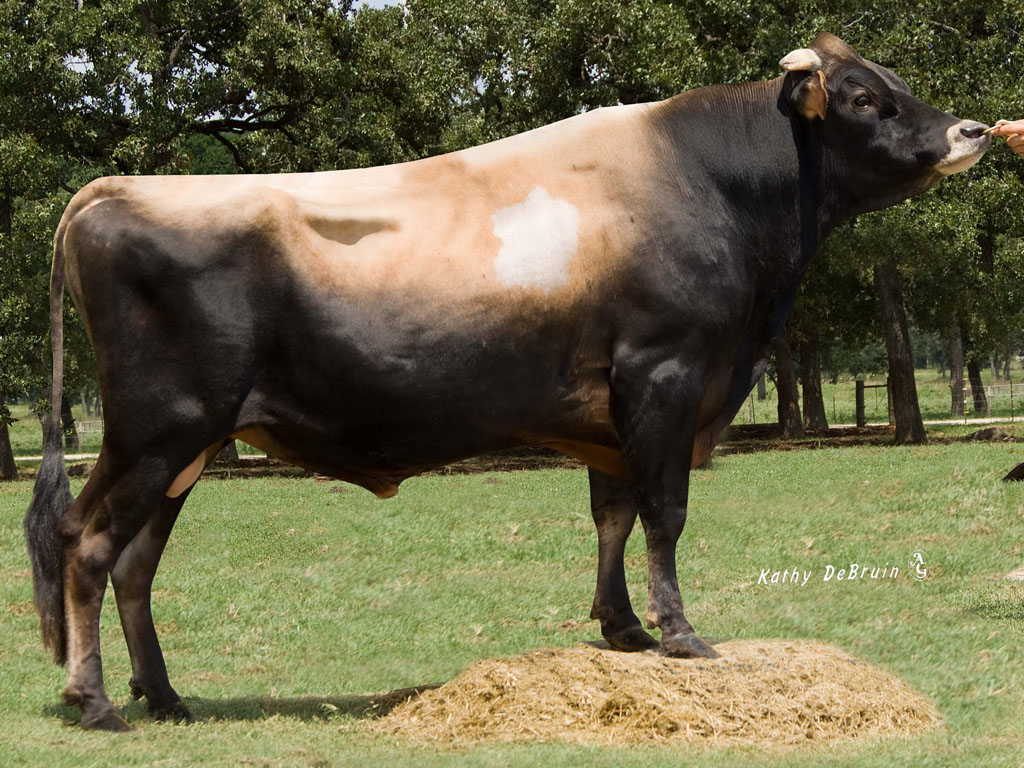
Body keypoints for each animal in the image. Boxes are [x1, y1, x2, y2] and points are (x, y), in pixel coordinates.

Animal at [25, 33, 989, 730]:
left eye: (897, 80)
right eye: (863, 97)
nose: (972, 132)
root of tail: (114, 189)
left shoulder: (610, 411)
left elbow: (612, 515)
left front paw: (623, 630)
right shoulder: (666, 375)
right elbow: (664, 514)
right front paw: (680, 636)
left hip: (190, 443)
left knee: (136, 560)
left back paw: (165, 696)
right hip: (161, 424)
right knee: (85, 540)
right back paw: (97, 701)